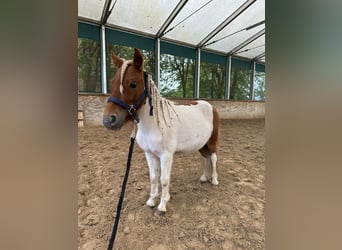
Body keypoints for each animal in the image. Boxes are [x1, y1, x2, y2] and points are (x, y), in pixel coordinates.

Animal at [103, 49, 219, 215]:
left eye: (133, 84)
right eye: (112, 83)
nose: (109, 120)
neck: (153, 125)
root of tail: (209, 106)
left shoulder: (166, 155)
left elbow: (164, 179)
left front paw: (162, 206)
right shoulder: (150, 154)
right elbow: (153, 177)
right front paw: (151, 200)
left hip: (212, 141)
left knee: (213, 158)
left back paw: (214, 180)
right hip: (201, 145)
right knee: (205, 158)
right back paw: (204, 178)